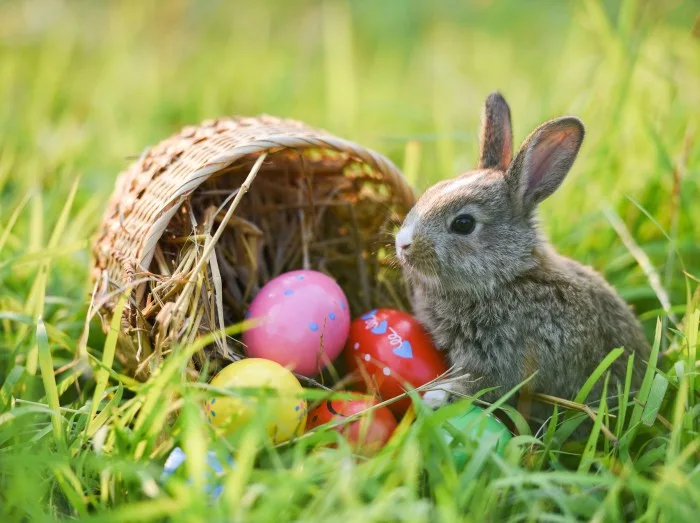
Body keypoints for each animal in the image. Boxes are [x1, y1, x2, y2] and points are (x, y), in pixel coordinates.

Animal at [394, 92, 652, 420]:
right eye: (428, 193)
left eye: (463, 224)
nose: (403, 244)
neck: (508, 277)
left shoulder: (505, 361)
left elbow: (484, 385)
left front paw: (435, 398)